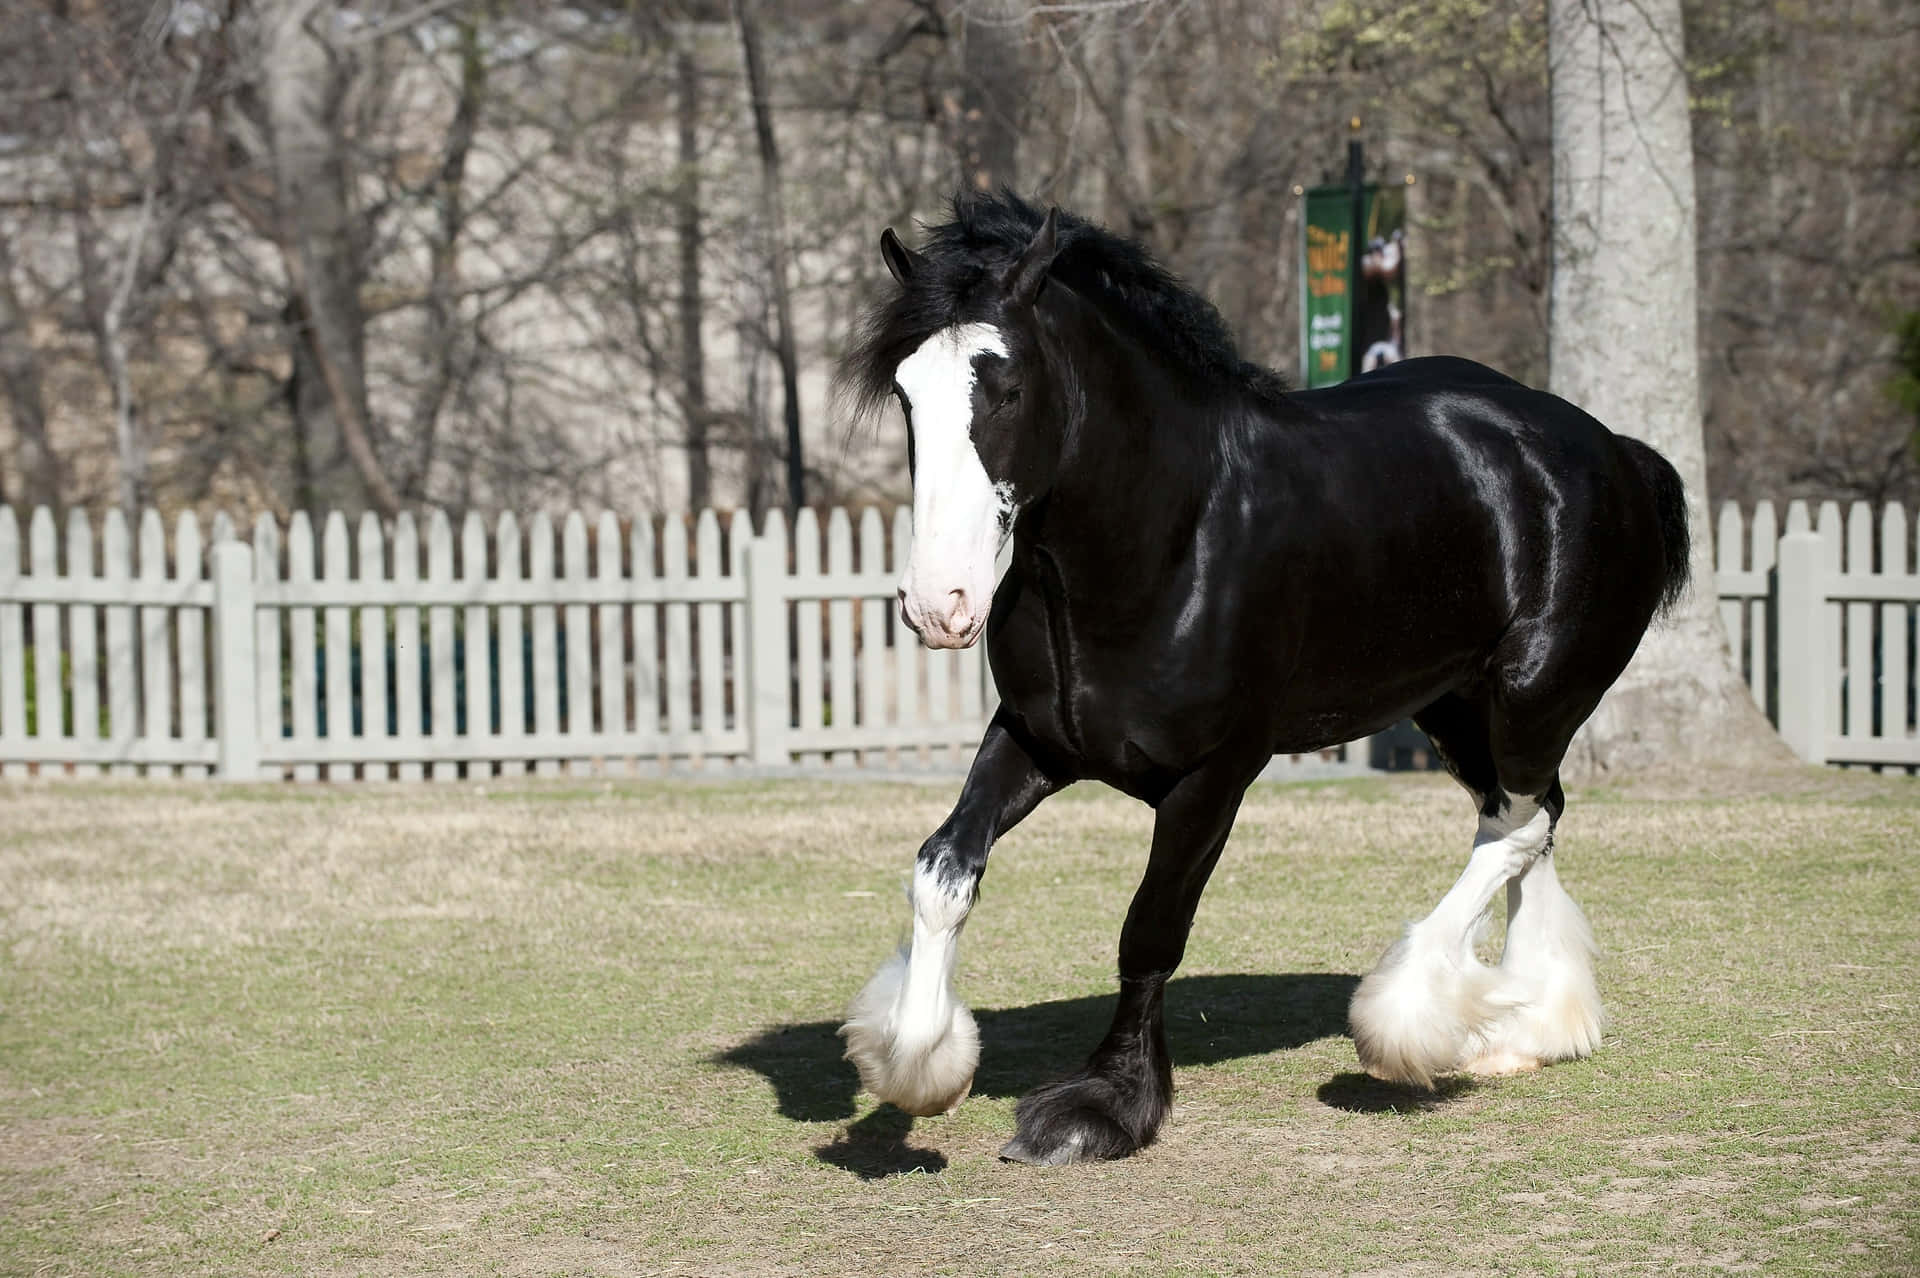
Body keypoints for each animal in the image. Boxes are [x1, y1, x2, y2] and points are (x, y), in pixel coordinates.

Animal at [834, 191, 1688, 1166]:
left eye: (1006, 387)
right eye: (907, 392)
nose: (938, 606)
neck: (1168, 538)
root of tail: (1615, 452)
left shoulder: (1215, 776)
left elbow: (1149, 931)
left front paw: (1102, 1108)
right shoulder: (1032, 742)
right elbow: (943, 869)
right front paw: (915, 1062)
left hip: (1534, 696)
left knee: (1517, 825)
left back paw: (1408, 1022)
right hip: (1456, 707)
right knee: (1529, 817)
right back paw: (1526, 1029)